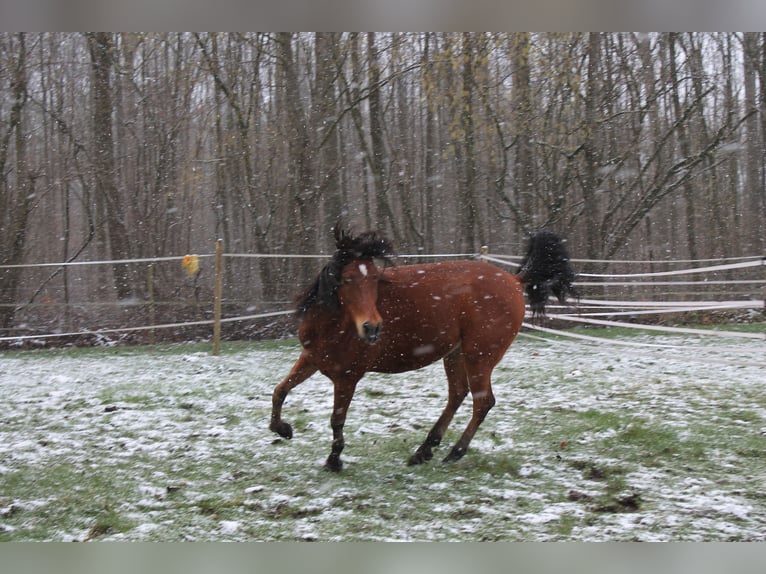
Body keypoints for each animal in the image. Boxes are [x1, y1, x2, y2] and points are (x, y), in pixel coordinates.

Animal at [270, 225, 576, 472]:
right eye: (346, 280)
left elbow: (337, 419)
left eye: (375, 279)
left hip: (479, 356)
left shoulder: (347, 377)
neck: (333, 325)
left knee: (482, 401)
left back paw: (454, 452)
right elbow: (280, 390)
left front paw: (334, 461)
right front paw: (282, 429)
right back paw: (424, 450)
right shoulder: (311, 358)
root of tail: (514, 279)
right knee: (457, 394)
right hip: (455, 355)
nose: (372, 328)